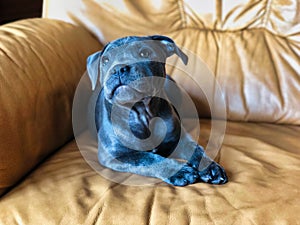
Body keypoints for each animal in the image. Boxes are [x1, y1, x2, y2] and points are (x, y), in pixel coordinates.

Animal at [85, 35, 226, 186]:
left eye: (144, 53)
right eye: (105, 60)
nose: (118, 68)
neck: (142, 112)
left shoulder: (181, 139)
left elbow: (197, 150)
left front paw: (211, 168)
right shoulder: (116, 155)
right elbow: (147, 159)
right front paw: (180, 170)